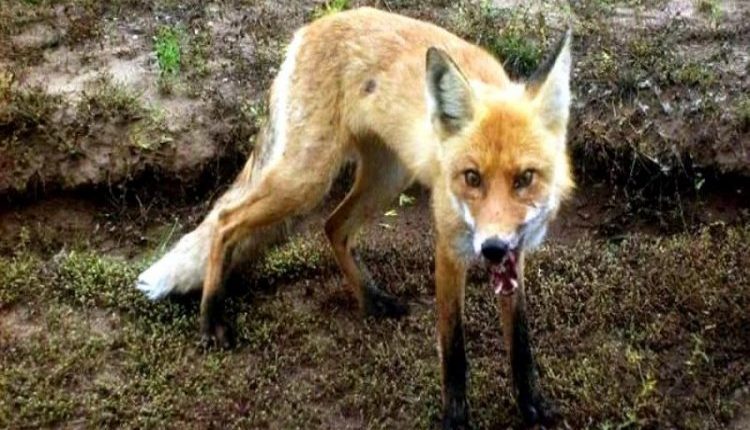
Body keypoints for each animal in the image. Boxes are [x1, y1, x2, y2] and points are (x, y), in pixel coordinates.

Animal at [136, 7, 574, 428]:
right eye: (472, 177)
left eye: (525, 178)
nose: (493, 247)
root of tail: (310, 29)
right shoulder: (450, 248)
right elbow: (454, 351)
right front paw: (456, 420)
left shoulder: (516, 254)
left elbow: (520, 343)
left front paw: (533, 407)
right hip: (305, 180)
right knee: (226, 219)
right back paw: (211, 318)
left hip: (386, 180)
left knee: (332, 226)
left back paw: (370, 299)